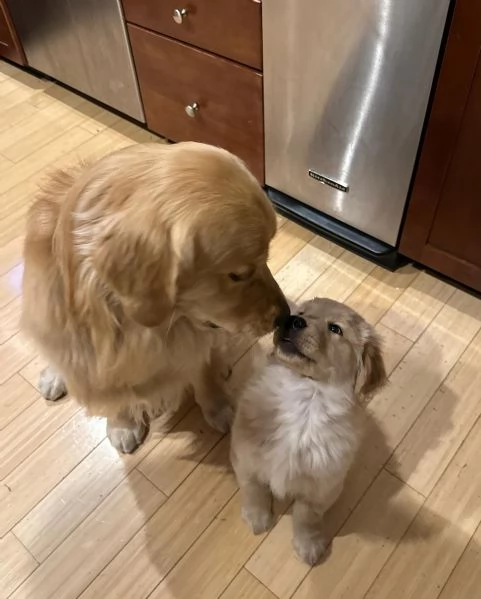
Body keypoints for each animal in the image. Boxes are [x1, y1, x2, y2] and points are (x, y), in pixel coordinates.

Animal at [22, 144, 288, 454]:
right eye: (237, 275)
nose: (286, 317)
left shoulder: (195, 339)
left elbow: (203, 368)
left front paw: (220, 406)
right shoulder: (97, 362)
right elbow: (112, 391)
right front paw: (123, 423)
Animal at [231, 300, 384, 568]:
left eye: (335, 328)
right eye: (301, 313)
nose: (292, 320)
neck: (304, 396)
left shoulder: (323, 486)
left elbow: (307, 516)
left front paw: (308, 545)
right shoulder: (244, 456)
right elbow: (253, 488)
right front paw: (257, 518)